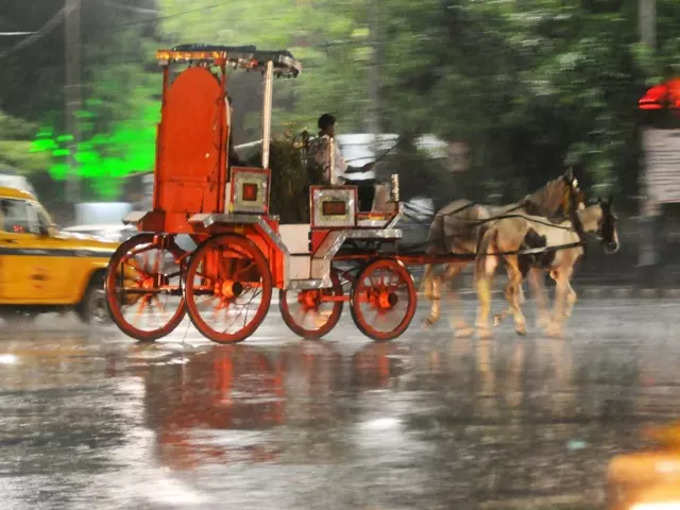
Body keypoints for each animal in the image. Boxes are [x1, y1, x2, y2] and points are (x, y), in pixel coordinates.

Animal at [424, 171, 580, 336]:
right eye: (576, 191)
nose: (576, 216)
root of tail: (443, 213)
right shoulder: (528, 267)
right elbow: (527, 294)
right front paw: (539, 322)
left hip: (458, 260)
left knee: (439, 281)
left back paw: (453, 324)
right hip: (460, 259)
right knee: (445, 284)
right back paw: (461, 326)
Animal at [476, 199, 620, 338]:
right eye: (612, 219)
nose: (614, 245)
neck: (574, 231)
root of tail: (496, 226)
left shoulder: (556, 273)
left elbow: (571, 296)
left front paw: (561, 317)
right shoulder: (564, 270)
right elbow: (561, 297)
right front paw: (554, 328)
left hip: (501, 266)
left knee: (494, 291)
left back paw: (485, 326)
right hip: (521, 270)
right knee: (509, 291)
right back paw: (520, 325)